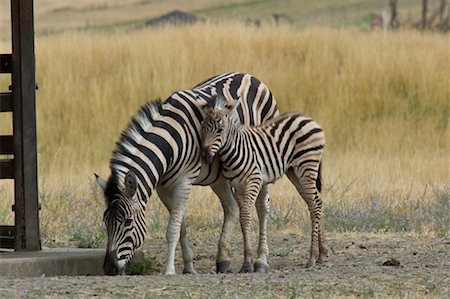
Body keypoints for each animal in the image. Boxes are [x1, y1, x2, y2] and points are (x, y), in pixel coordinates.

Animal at [95, 72, 278, 274]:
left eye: (127, 222)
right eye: (105, 221)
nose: (109, 268)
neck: (169, 144)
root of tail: (248, 75)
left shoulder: (183, 182)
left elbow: (172, 229)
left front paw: (169, 270)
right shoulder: (164, 188)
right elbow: (180, 226)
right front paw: (189, 266)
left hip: (263, 163)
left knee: (262, 208)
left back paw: (261, 261)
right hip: (219, 177)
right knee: (231, 207)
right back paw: (223, 259)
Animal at [202, 95, 328, 274]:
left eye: (220, 130)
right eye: (203, 129)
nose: (205, 155)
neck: (234, 151)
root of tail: (310, 119)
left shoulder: (254, 181)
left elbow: (246, 216)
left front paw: (247, 263)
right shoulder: (237, 188)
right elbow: (243, 219)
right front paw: (248, 260)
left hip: (307, 166)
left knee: (316, 204)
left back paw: (312, 257)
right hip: (295, 172)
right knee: (314, 203)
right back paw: (322, 254)